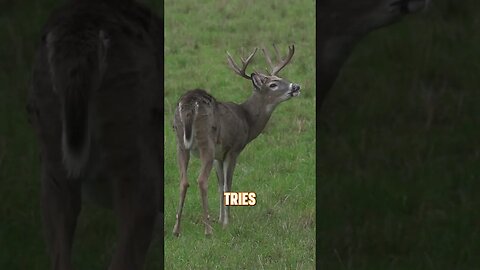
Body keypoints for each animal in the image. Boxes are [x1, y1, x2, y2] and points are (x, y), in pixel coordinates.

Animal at [172, 44, 300, 236]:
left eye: (281, 77)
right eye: (273, 84)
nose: (296, 86)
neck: (247, 119)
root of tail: (189, 102)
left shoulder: (219, 155)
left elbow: (220, 185)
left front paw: (220, 219)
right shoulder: (234, 148)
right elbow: (227, 184)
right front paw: (226, 222)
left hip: (181, 143)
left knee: (183, 181)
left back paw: (176, 229)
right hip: (206, 142)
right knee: (201, 180)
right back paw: (208, 230)